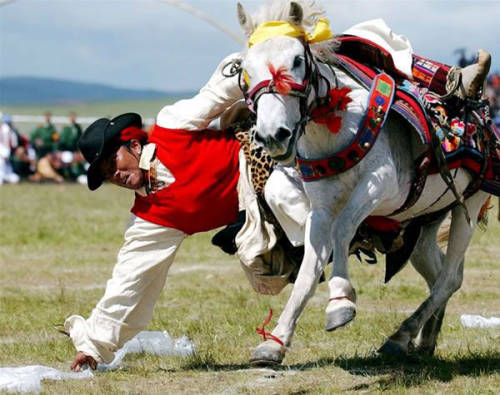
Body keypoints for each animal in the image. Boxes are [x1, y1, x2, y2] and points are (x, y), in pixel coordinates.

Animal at [236, 0, 490, 366]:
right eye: (244, 70)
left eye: (297, 60)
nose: (273, 135)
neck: (334, 126)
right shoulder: (320, 206)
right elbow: (309, 269)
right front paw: (275, 342)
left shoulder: (380, 185)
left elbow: (342, 230)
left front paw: (340, 303)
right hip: (426, 221)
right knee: (445, 273)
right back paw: (424, 339)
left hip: (468, 204)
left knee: (447, 279)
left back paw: (400, 337)